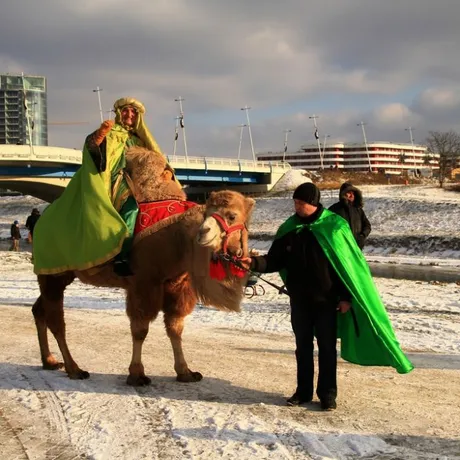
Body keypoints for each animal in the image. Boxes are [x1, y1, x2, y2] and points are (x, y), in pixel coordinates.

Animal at [32, 147, 255, 384]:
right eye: (206, 213)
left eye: (232, 215)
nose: (203, 233)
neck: (176, 238)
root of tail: (40, 223)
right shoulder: (144, 282)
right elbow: (140, 329)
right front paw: (137, 374)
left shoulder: (176, 284)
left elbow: (175, 328)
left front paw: (185, 371)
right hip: (53, 272)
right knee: (56, 320)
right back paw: (74, 369)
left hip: (61, 274)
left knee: (39, 310)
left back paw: (50, 361)